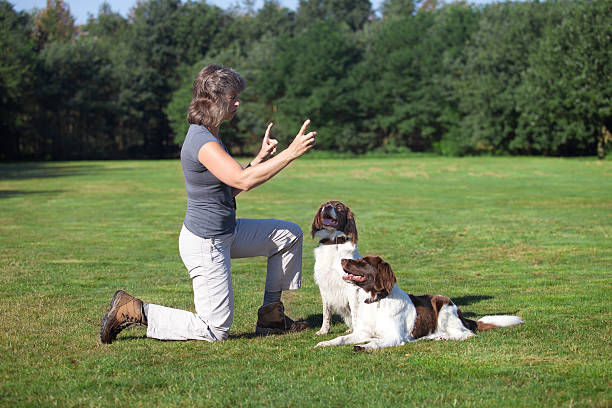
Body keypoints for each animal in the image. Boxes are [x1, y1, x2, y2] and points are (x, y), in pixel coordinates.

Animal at [314, 200, 360, 334]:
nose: (327, 207)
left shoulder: (351, 286)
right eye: (324, 204)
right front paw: (324, 331)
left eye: (339, 206)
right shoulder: (324, 286)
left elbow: (355, 313)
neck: (333, 242)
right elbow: (326, 312)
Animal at [318, 256, 524, 350]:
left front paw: (364, 347)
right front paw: (325, 342)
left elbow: (375, 342)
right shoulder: (362, 332)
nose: (342, 259)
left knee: (466, 334)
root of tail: (461, 314)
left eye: (363, 261)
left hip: (443, 306)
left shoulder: (394, 336)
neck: (377, 301)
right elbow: (341, 338)